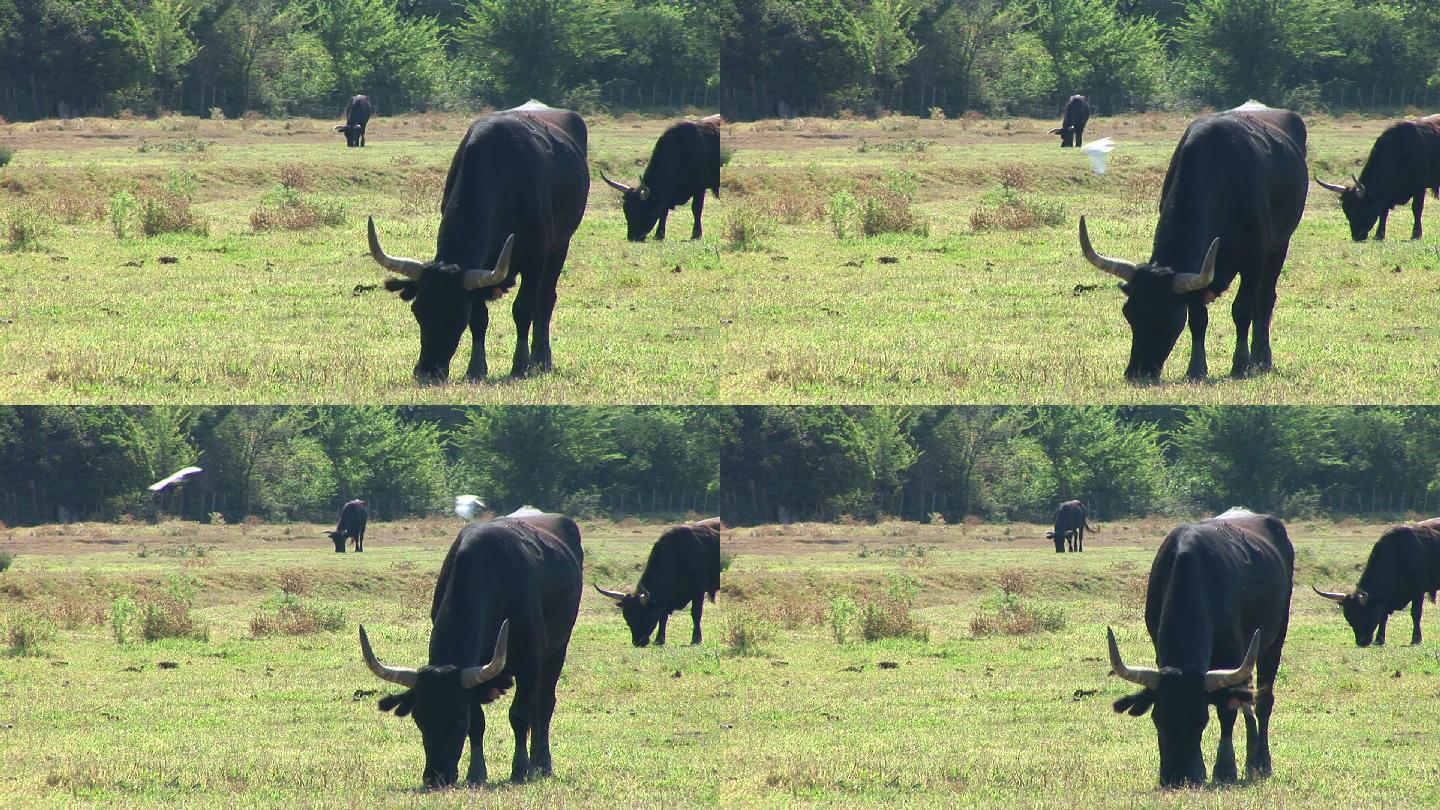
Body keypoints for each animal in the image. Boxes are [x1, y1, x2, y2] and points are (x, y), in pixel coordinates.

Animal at [357, 510, 581, 784]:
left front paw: (519, 769)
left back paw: (541, 764)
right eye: (419, 718)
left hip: (557, 651)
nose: (436, 777)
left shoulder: (529, 663)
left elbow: (519, 715)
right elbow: (479, 722)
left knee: (544, 703)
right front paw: (476, 773)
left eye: (458, 719)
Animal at [368, 100, 587, 377]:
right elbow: (480, 317)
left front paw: (520, 364)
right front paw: (476, 368)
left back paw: (541, 358)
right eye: (417, 311)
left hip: (560, 248)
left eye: (456, 316)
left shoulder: (535, 258)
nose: (427, 371)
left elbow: (523, 309)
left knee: (546, 299)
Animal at [590, 515, 720, 642]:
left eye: (641, 615)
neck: (676, 555)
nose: (638, 642)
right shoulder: (665, 600)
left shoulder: (698, 592)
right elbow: (662, 617)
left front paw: (696, 638)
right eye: (627, 617)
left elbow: (696, 614)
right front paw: (659, 639)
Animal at [1082, 103, 1307, 380]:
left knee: (1264, 300)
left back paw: (1261, 358)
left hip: (1279, 247)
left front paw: (1240, 363)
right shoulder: (1200, 271)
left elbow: (1242, 309)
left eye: (1168, 318)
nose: (1137, 372)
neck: (1219, 173)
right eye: (1129, 313)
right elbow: (1198, 318)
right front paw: (1196, 368)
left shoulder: (1254, 258)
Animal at [1100, 507, 1296, 784]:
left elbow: (1227, 712)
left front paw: (1224, 769)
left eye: (1201, 720)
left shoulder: (1232, 656)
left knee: (1262, 700)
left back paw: (1261, 762)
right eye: (1157, 719)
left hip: (1274, 640)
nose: (1177, 777)